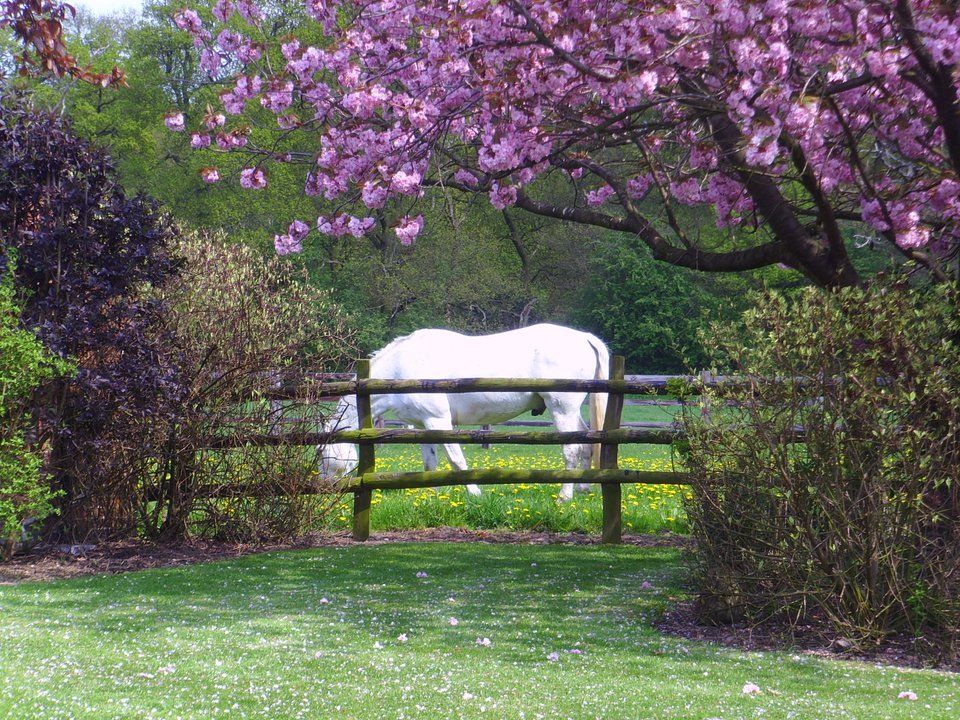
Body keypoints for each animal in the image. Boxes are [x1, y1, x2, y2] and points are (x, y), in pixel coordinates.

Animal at [320, 324, 608, 500]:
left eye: (322, 454)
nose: (326, 489)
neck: (401, 369)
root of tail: (584, 337)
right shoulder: (423, 426)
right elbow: (430, 463)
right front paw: (430, 495)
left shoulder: (438, 421)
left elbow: (457, 461)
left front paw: (475, 494)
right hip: (571, 411)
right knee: (586, 444)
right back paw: (583, 489)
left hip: (562, 409)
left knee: (572, 450)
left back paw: (564, 497)